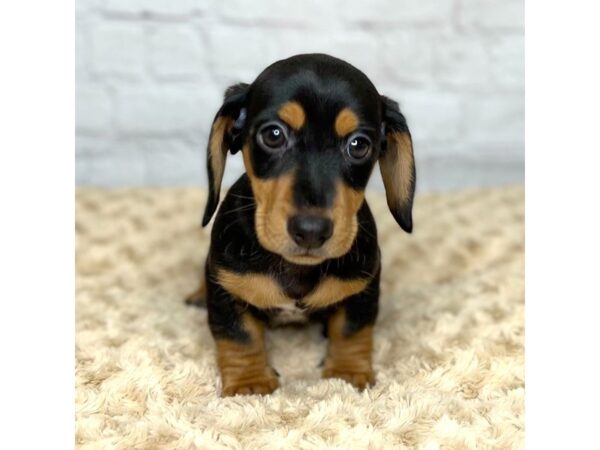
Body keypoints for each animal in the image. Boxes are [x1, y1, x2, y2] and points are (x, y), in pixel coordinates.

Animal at [190, 53, 414, 398]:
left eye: (359, 145)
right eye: (273, 135)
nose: (311, 231)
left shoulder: (363, 288)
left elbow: (352, 330)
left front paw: (346, 373)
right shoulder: (226, 289)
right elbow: (239, 336)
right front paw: (249, 383)